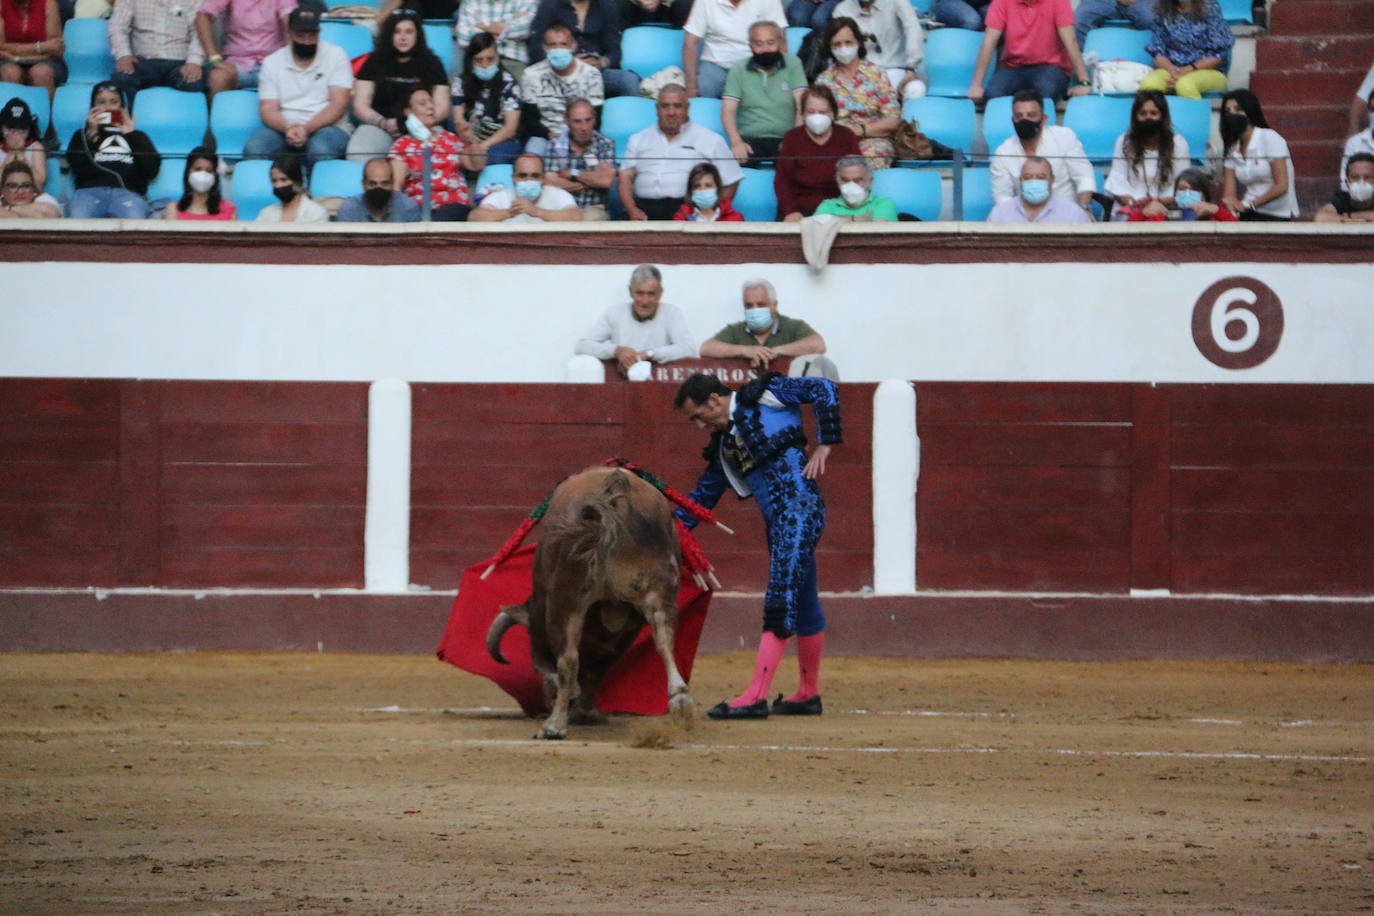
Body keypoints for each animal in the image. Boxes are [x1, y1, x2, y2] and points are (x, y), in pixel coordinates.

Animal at [486, 469, 697, 741]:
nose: (545, 702)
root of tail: (615, 484)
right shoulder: (627, 627)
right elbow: (601, 666)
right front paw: (587, 712)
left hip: (568, 599)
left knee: (568, 659)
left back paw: (553, 726)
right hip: (661, 592)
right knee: (664, 638)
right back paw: (681, 703)